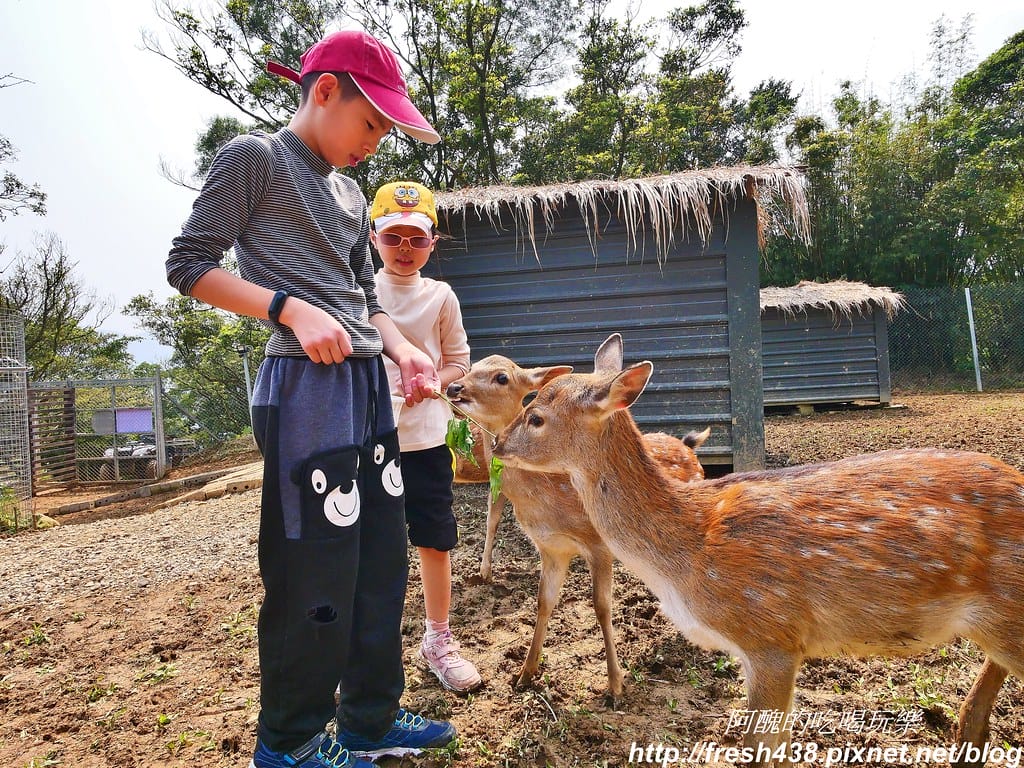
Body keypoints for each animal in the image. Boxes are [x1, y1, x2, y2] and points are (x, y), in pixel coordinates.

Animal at [445, 351, 709, 700]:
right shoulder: (551, 549)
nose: (453, 387)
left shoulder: (599, 545)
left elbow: (601, 607)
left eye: (502, 377)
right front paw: (525, 673)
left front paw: (615, 685)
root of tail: (689, 448)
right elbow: (543, 602)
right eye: (471, 366)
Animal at [492, 333, 1024, 767]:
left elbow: (760, 750)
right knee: (973, 714)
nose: (497, 444)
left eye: (536, 416)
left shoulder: (771, 636)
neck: (688, 551)